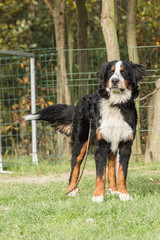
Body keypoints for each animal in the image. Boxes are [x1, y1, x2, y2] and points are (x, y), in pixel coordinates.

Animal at [23, 60, 145, 202]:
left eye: (124, 72)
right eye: (110, 72)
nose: (114, 80)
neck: (116, 105)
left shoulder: (125, 144)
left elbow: (121, 173)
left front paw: (124, 195)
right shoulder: (100, 145)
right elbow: (100, 175)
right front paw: (98, 197)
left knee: (111, 165)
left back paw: (113, 190)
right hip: (81, 143)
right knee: (74, 168)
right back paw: (71, 190)